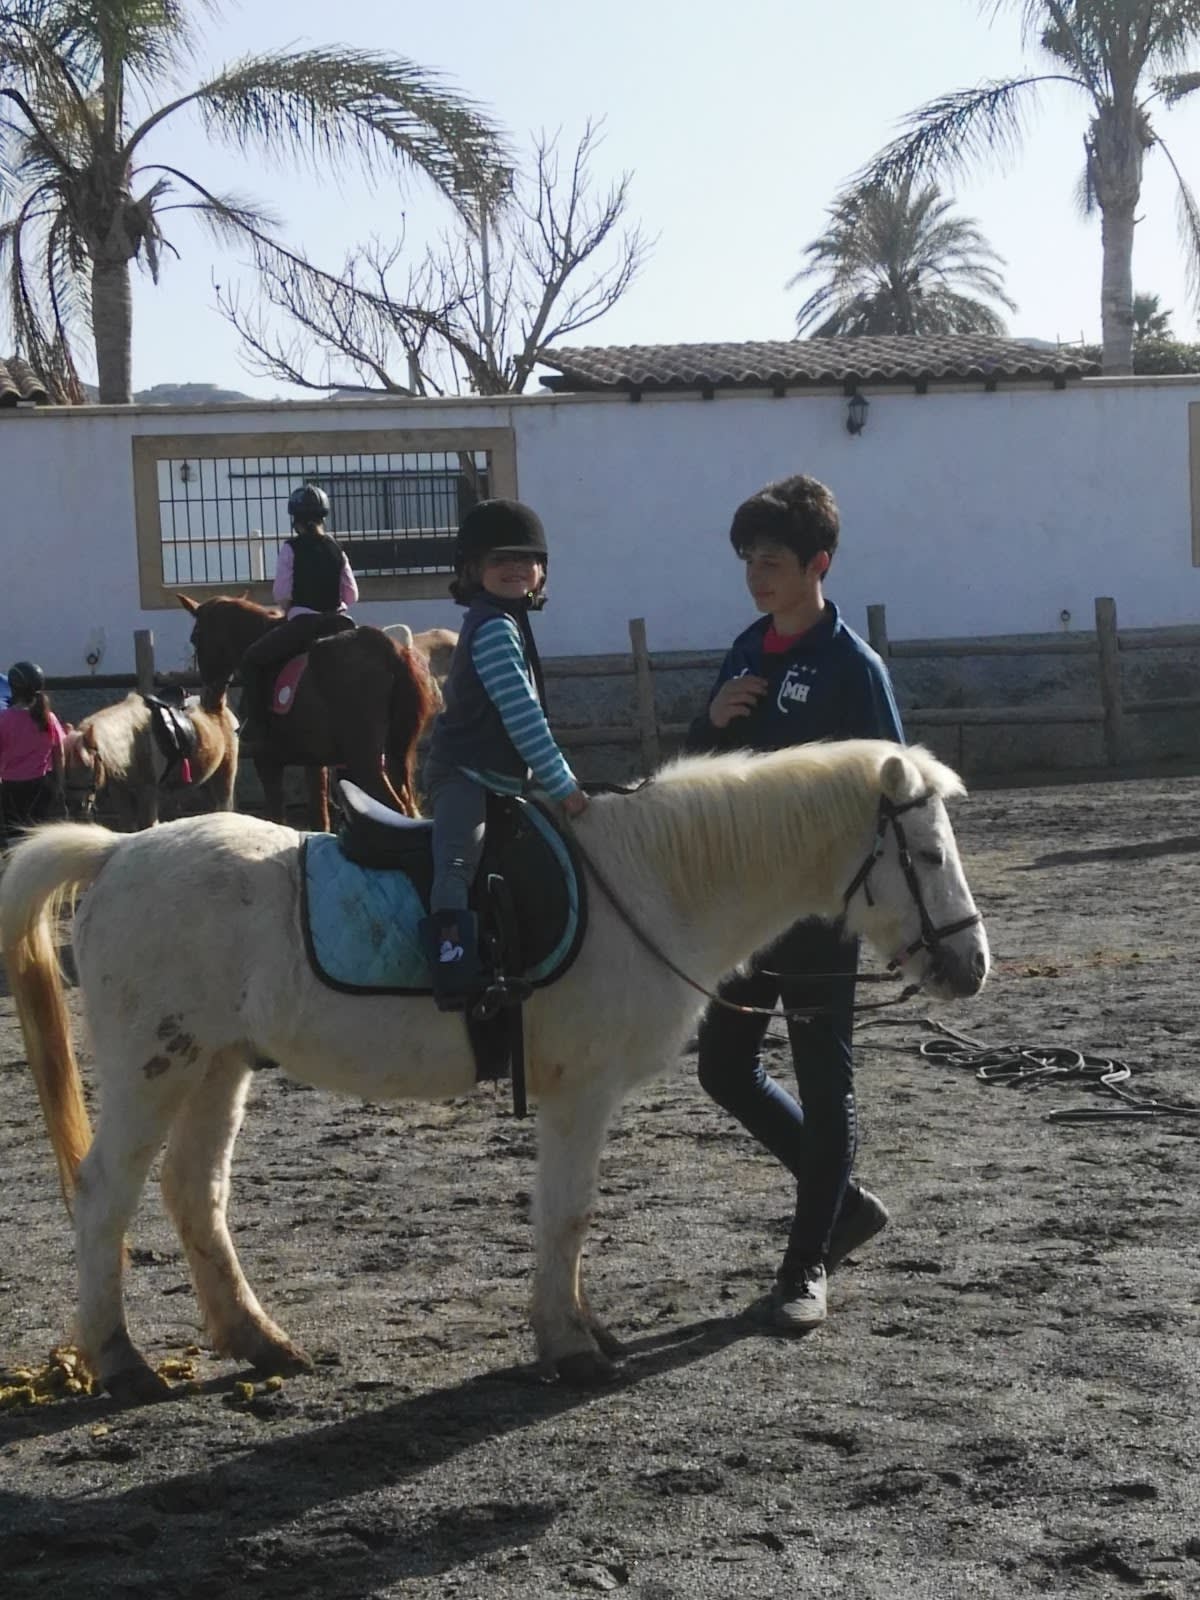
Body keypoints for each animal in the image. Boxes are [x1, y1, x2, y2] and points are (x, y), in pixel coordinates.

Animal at [0, 739, 988, 1403]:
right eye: (929, 854)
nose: (971, 965)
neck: (651, 881)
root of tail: (119, 850)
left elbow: (565, 1218)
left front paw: (582, 1327)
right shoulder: (581, 1091)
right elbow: (568, 1214)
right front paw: (569, 1345)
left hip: (217, 1065)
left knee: (193, 1190)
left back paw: (259, 1341)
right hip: (154, 1067)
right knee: (105, 1194)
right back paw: (120, 1360)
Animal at [62, 693, 239, 831]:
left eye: (87, 764)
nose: (74, 806)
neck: (132, 745)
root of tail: (218, 707)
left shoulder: (148, 792)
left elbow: (148, 826)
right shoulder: (121, 794)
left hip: (225, 774)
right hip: (207, 780)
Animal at [176, 594, 437, 828]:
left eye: (195, 637)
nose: (210, 699)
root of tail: (387, 650)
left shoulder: (267, 761)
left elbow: (276, 814)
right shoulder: (315, 763)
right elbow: (320, 816)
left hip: (364, 758)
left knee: (393, 806)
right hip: (393, 753)